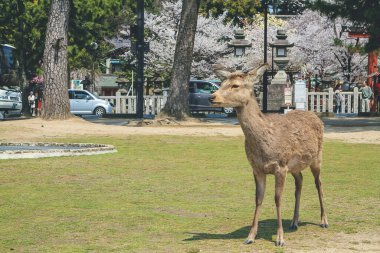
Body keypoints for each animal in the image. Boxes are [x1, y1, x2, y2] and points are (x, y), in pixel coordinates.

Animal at [209, 64, 328, 246]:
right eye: (222, 83)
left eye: (235, 85)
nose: (212, 97)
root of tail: (314, 114)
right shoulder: (257, 169)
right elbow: (258, 198)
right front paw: (250, 236)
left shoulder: (280, 166)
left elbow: (277, 198)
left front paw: (280, 238)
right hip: (295, 166)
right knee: (300, 182)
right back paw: (294, 222)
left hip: (317, 157)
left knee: (318, 183)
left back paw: (324, 221)